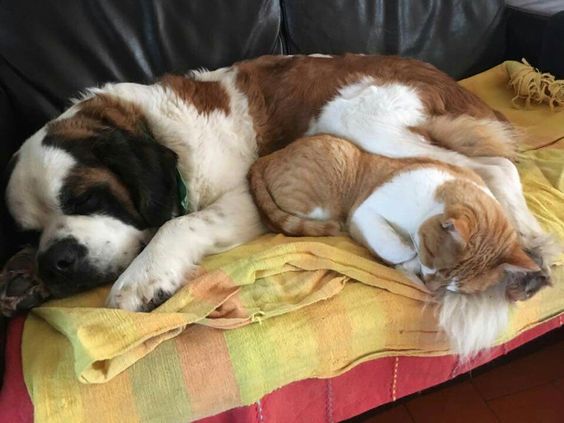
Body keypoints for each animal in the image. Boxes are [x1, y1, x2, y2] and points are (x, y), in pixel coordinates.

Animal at [249, 135, 540, 294]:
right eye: (433, 259)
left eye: (455, 287)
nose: (430, 288)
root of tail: (266, 157)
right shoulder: (366, 211)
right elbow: (395, 246)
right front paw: (407, 257)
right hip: (324, 199)